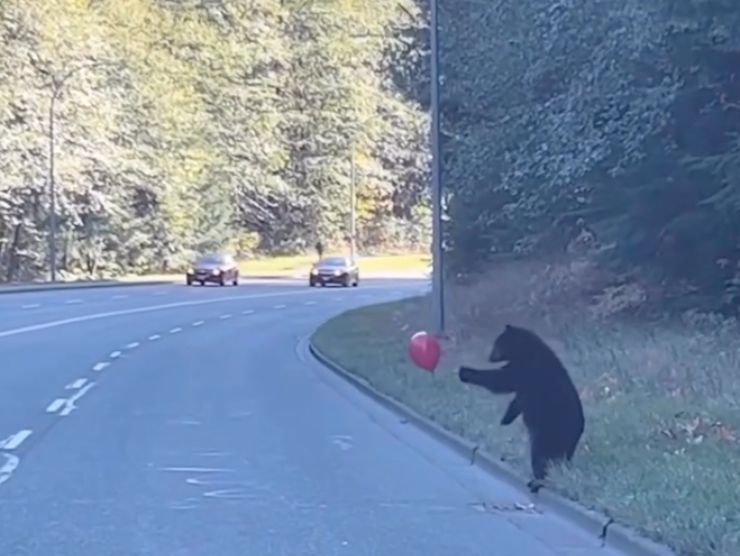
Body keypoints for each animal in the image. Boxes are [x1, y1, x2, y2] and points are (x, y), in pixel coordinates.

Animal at [456, 324, 584, 494]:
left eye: (496, 343)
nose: (489, 357)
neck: (525, 351)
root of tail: (578, 430)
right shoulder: (524, 383)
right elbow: (516, 401)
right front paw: (505, 420)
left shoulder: (525, 370)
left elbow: (500, 380)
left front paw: (465, 372)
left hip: (549, 432)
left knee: (540, 456)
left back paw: (537, 481)